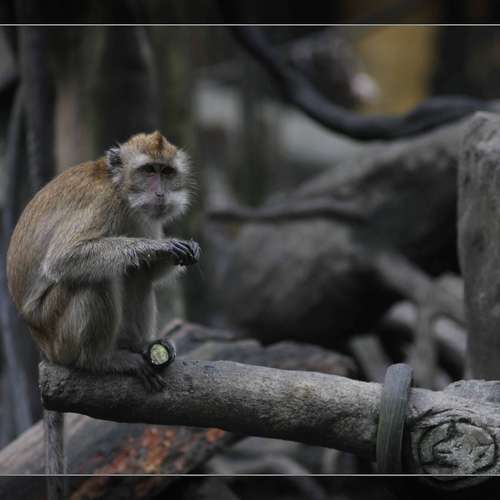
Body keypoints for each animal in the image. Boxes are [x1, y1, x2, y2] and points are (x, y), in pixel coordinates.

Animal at [6, 131, 200, 480]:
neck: (121, 189)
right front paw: (159, 246)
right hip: (58, 331)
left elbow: (148, 272)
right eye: (149, 171)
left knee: (134, 274)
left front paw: (182, 249)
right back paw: (101, 360)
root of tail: (41, 342)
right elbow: (64, 259)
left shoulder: (141, 215)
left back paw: (138, 346)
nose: (161, 193)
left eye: (166, 172)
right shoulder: (103, 206)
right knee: (98, 276)